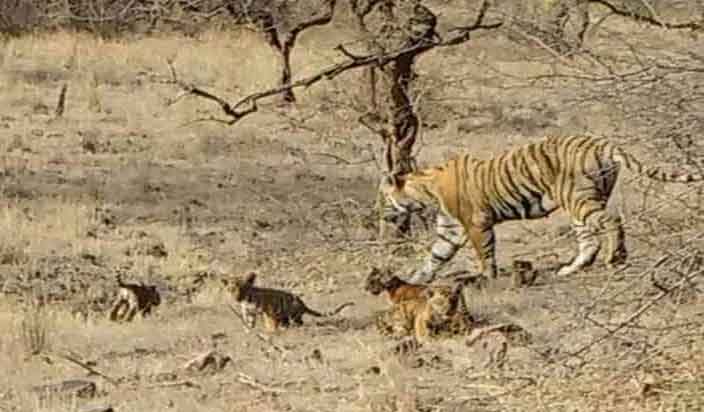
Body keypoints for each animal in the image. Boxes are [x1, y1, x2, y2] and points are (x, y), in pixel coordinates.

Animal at [382, 135, 700, 284]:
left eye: (384, 196)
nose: (383, 214)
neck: (426, 191)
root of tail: (602, 142)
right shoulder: (450, 230)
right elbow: (434, 258)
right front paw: (415, 279)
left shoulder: (476, 223)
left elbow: (484, 254)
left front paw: (487, 279)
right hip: (580, 204)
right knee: (589, 241)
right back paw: (570, 269)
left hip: (580, 199)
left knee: (612, 221)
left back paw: (616, 257)